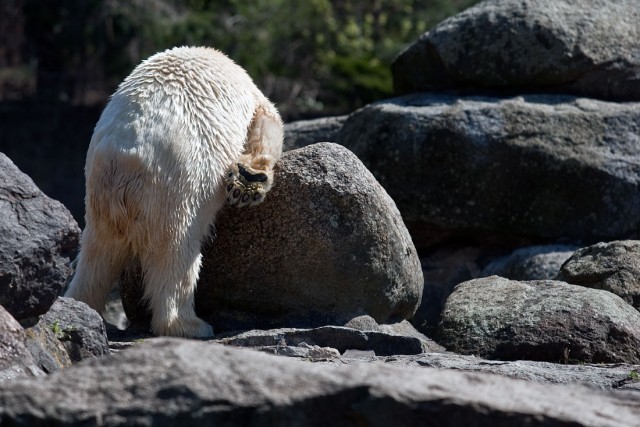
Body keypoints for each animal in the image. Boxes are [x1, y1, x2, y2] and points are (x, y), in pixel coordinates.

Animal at [65, 46, 282, 340]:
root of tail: (124, 164)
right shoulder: (251, 96)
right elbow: (267, 121)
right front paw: (249, 179)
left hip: (98, 201)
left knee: (96, 255)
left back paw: (80, 306)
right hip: (177, 190)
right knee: (178, 254)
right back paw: (191, 325)